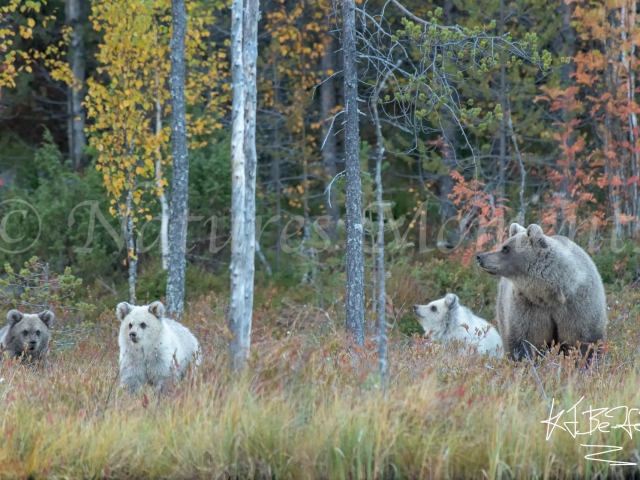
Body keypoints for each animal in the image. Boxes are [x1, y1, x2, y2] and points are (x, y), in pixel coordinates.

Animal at [478, 223, 608, 362]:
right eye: (503, 245)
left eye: (506, 249)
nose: (480, 256)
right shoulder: (528, 307)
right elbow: (524, 342)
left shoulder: (579, 306)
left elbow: (585, 343)